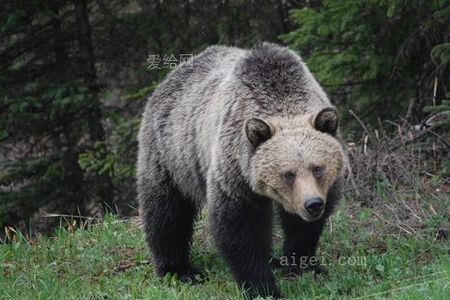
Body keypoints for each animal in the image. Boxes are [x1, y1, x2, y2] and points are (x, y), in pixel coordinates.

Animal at [136, 42, 348, 298]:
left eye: (317, 168)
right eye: (288, 174)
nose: (313, 204)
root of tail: (167, 79)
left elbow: (302, 228)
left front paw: (302, 265)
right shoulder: (234, 169)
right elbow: (239, 225)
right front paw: (262, 287)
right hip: (171, 154)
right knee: (167, 211)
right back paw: (178, 270)